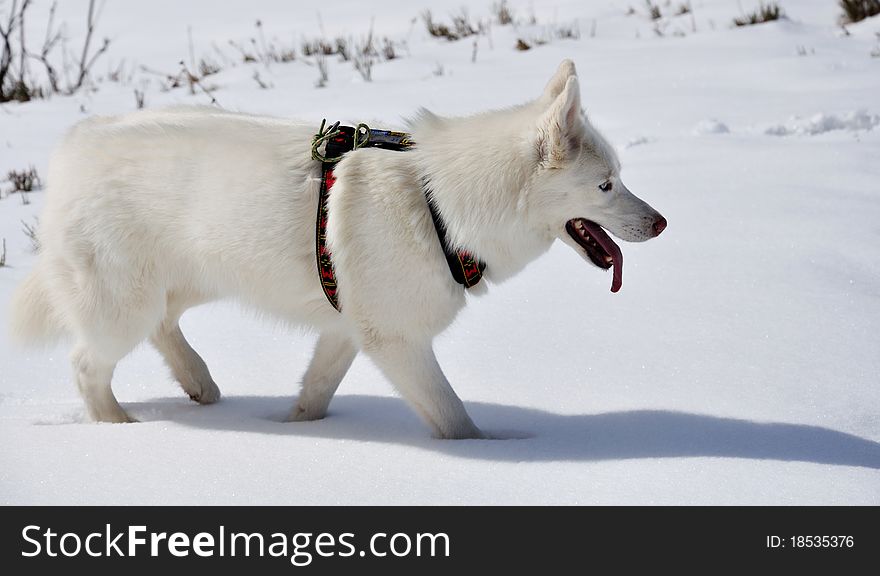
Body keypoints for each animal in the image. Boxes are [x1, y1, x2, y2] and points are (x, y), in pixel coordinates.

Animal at [8, 59, 668, 436]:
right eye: (606, 186)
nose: (662, 223)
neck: (438, 203)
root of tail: (73, 146)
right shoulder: (398, 342)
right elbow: (455, 421)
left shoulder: (348, 331)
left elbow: (316, 393)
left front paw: (298, 432)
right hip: (124, 304)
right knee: (88, 364)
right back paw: (120, 431)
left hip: (191, 281)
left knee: (163, 328)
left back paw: (199, 384)